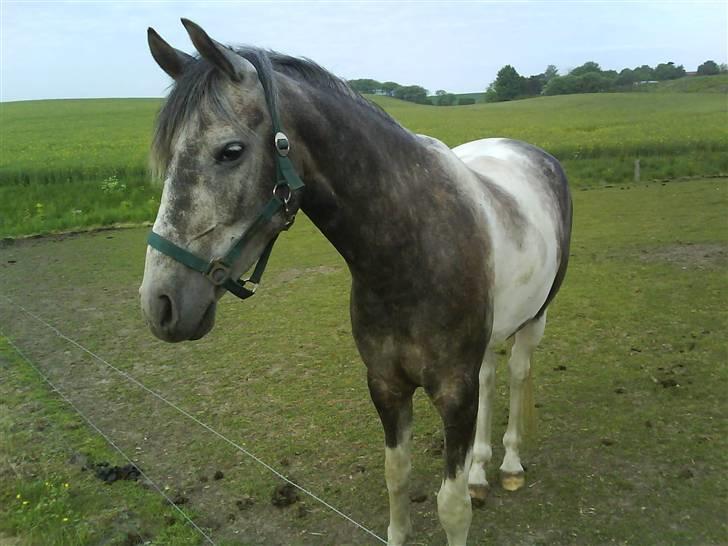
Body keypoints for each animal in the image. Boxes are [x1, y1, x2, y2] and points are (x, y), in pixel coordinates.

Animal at [139, 18, 576, 544]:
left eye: (230, 151)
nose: (160, 302)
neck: (411, 249)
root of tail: (532, 154)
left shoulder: (454, 392)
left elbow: (451, 509)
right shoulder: (386, 386)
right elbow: (397, 478)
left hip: (535, 318)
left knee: (518, 372)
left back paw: (509, 466)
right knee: (492, 376)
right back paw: (479, 473)